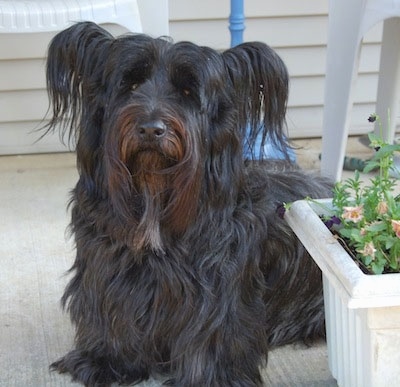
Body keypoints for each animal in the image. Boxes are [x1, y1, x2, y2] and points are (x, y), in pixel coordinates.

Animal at [47, 22, 332, 386]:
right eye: (131, 85)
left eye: (187, 92)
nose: (151, 129)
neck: (155, 196)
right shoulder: (107, 264)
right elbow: (112, 311)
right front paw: (105, 360)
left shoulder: (216, 285)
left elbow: (211, 333)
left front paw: (209, 377)